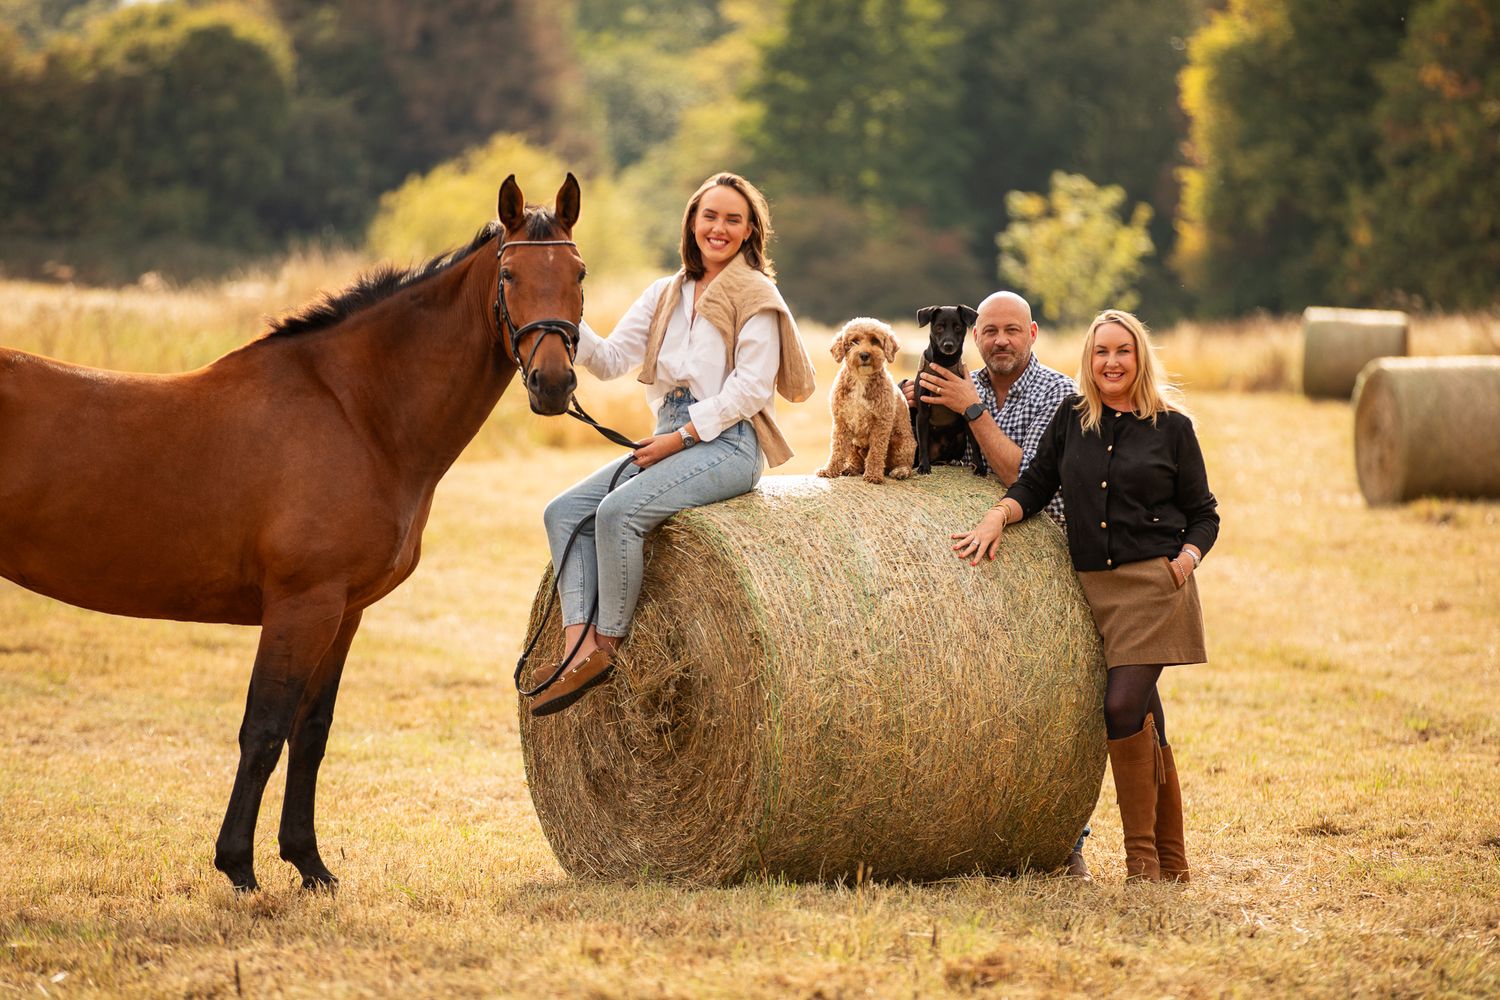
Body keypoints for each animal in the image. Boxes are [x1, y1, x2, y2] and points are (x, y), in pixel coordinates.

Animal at [0, 174, 586, 891]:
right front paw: (239, 866)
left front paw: (308, 862)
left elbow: (311, 733)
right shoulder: (300, 606)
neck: (355, 411)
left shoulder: (343, 612)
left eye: (578, 273)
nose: (552, 384)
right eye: (508, 275)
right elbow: (265, 730)